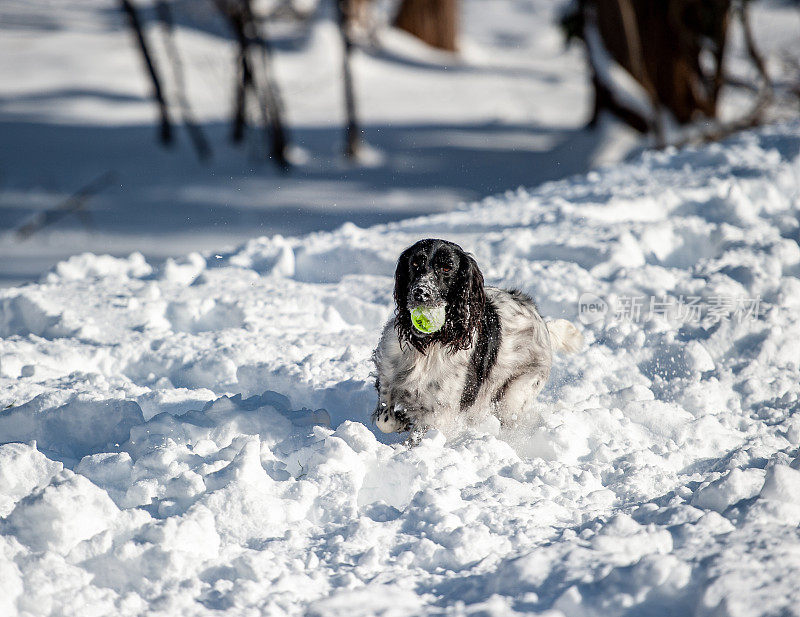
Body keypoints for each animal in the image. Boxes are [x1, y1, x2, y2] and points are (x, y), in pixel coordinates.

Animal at [372, 238, 584, 436]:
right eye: (415, 263)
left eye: (447, 267)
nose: (420, 292)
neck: (429, 342)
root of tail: (541, 321)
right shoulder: (387, 376)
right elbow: (384, 420)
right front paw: (401, 420)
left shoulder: (439, 413)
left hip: (515, 394)